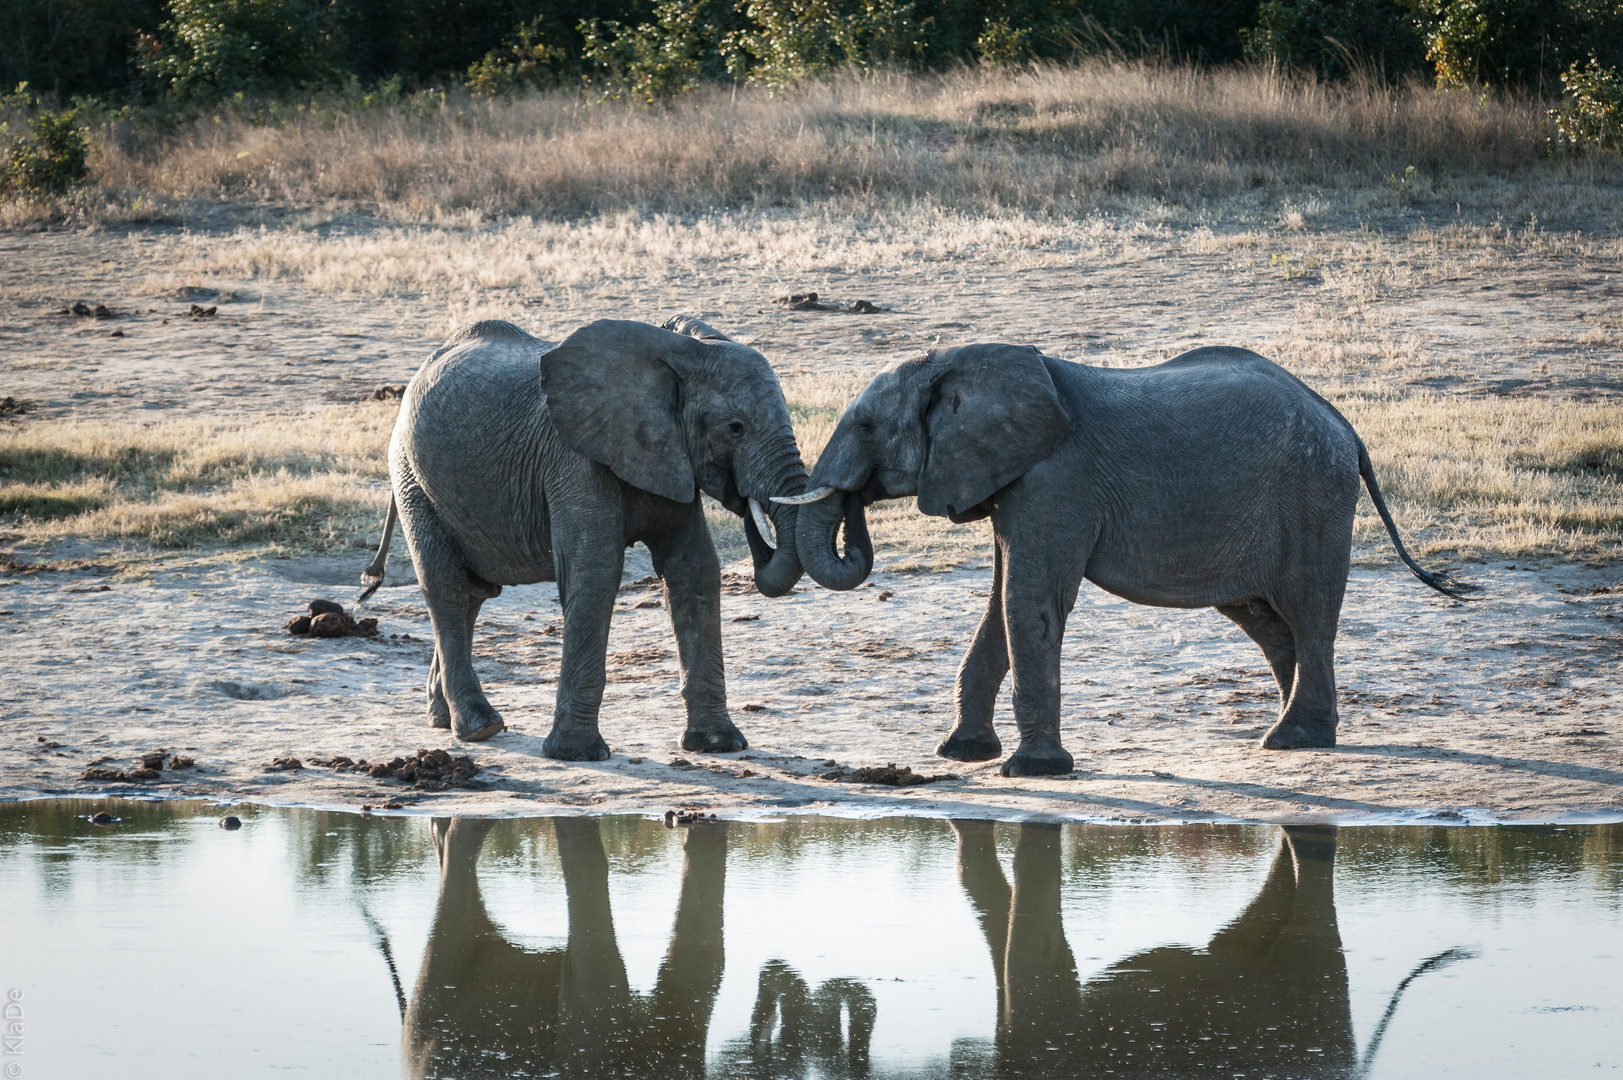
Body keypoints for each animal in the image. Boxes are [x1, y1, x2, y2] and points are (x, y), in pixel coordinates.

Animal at [360, 316, 805, 756]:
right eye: (735, 428)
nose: (748, 500)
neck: (680, 349)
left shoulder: (668, 456)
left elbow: (693, 569)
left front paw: (717, 744)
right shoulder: (574, 460)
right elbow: (594, 573)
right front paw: (577, 753)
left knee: (473, 593)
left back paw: (443, 720)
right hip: (411, 476)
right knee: (447, 587)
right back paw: (480, 727)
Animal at [788, 341, 1486, 769]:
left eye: (867, 427)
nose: (855, 504)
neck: (964, 360)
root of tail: (1345, 424)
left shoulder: (1055, 479)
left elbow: (1029, 602)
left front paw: (1032, 772)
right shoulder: (1011, 480)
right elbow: (1001, 604)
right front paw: (962, 756)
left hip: (1314, 495)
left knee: (1308, 615)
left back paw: (1291, 739)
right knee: (1268, 623)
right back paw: (1304, 740)